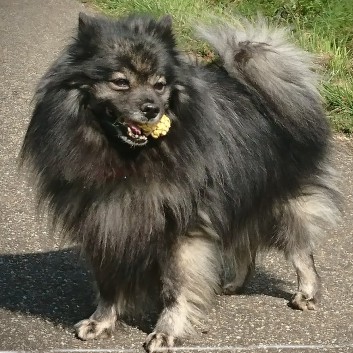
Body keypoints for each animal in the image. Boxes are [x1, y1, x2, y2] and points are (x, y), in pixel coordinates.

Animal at [20, 12, 340, 350]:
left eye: (160, 85)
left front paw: (167, 332)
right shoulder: (104, 222)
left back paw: (306, 292)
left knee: (300, 249)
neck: (126, 160)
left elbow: (176, 287)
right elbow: (108, 284)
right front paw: (101, 321)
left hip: (283, 201)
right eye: (120, 82)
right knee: (244, 244)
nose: (152, 109)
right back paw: (235, 283)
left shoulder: (182, 229)